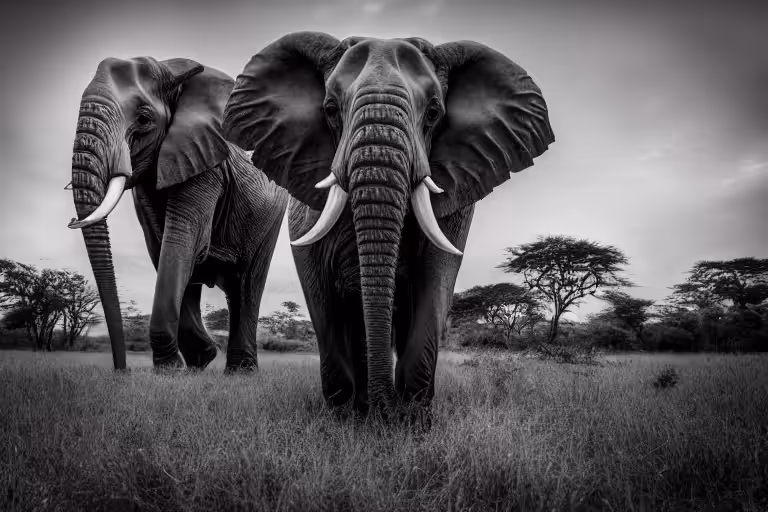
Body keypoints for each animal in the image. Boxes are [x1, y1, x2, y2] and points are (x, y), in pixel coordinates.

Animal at [67, 56, 289, 371]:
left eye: (144, 120)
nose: (122, 369)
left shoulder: (207, 168)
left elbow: (185, 244)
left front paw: (171, 368)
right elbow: (163, 249)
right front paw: (193, 362)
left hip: (270, 219)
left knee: (247, 285)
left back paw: (241, 372)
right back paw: (203, 363)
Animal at [222, 32, 554, 416]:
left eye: (434, 113)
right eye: (330, 109)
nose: (385, 410)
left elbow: (434, 281)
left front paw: (411, 418)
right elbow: (321, 291)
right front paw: (346, 415)